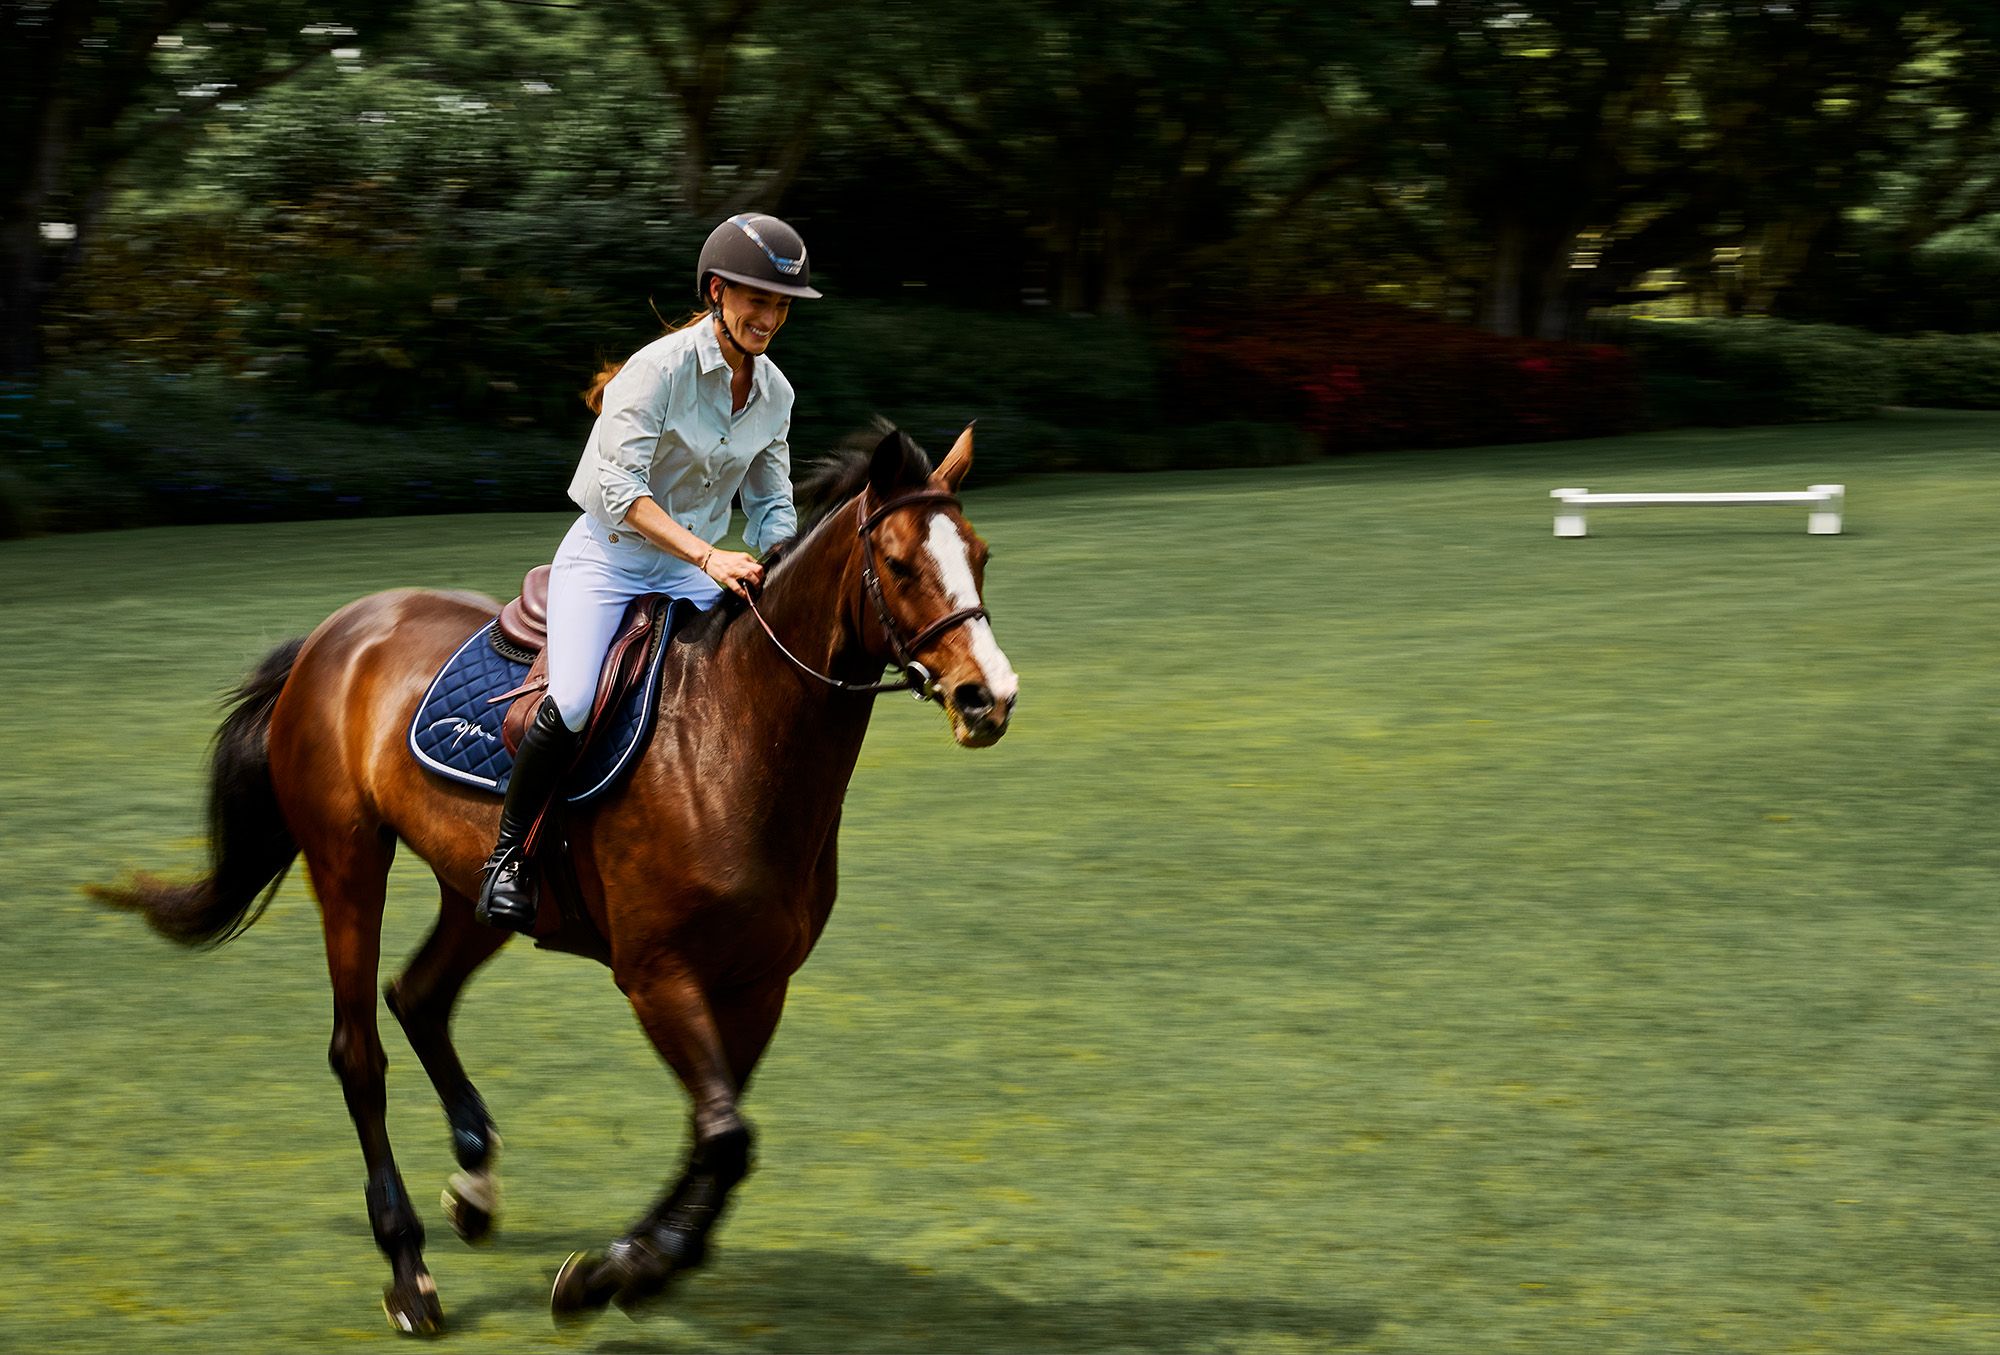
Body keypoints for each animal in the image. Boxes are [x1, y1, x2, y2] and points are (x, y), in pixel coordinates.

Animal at [94, 424, 1016, 1335]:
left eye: (979, 553)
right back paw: (408, 1271)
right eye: (899, 564)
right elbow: (723, 1136)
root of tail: (333, 632)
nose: (989, 697)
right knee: (359, 1049)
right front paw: (620, 1270)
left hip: (476, 894)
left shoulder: (758, 984)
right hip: (348, 860)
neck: (734, 739)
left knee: (418, 995)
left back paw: (474, 1183)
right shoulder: (658, 975)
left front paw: (625, 1264)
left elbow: (714, 1137)